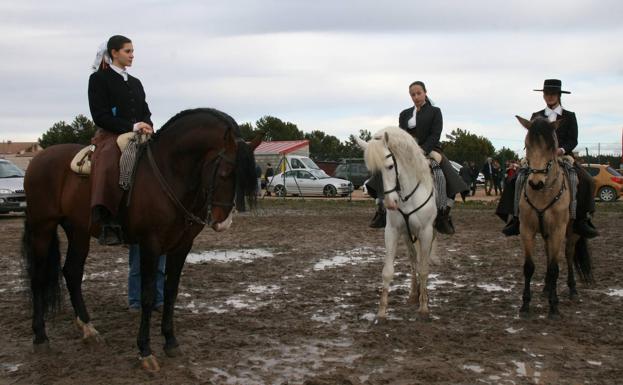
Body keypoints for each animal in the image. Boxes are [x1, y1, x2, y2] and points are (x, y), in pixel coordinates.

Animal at [22, 107, 260, 368]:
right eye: (226, 173)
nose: (223, 223)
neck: (169, 171)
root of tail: (39, 158)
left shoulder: (181, 246)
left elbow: (171, 292)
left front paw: (170, 342)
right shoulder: (150, 245)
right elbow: (147, 295)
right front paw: (145, 351)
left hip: (78, 231)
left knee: (72, 273)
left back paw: (88, 329)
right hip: (43, 227)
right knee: (38, 277)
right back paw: (40, 337)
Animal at [516, 115, 596, 320]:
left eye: (551, 147)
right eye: (527, 145)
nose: (536, 183)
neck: (543, 193)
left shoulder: (557, 231)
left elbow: (554, 268)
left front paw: (554, 307)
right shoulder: (526, 230)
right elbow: (529, 267)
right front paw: (525, 305)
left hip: (572, 231)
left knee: (568, 254)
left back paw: (572, 290)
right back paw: (545, 288)